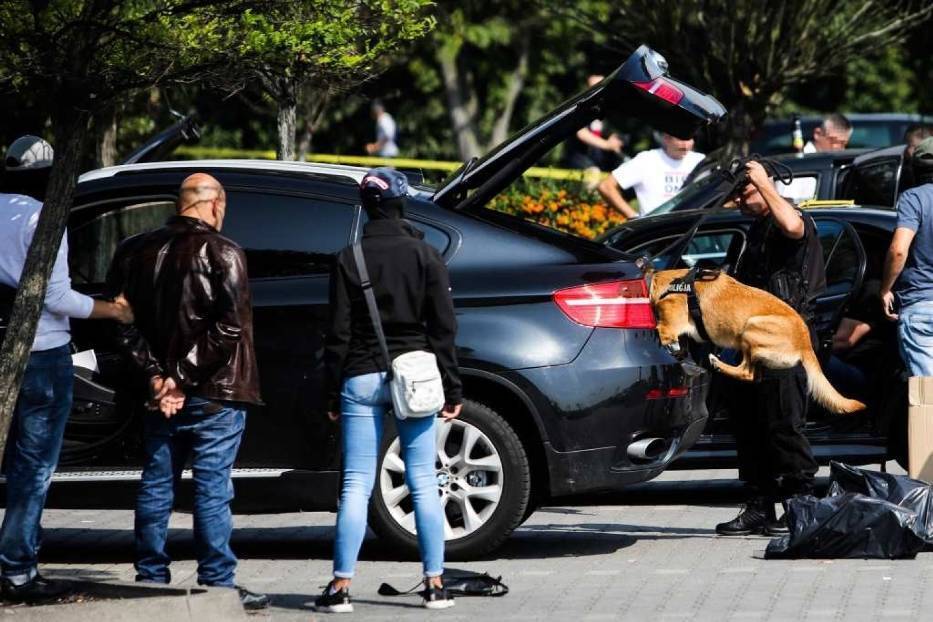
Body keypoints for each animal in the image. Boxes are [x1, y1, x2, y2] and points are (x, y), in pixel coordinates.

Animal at [652, 268, 864, 414]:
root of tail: (805, 344)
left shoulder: (668, 330)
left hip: (750, 329)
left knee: (747, 372)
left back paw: (718, 363)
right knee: (753, 375)